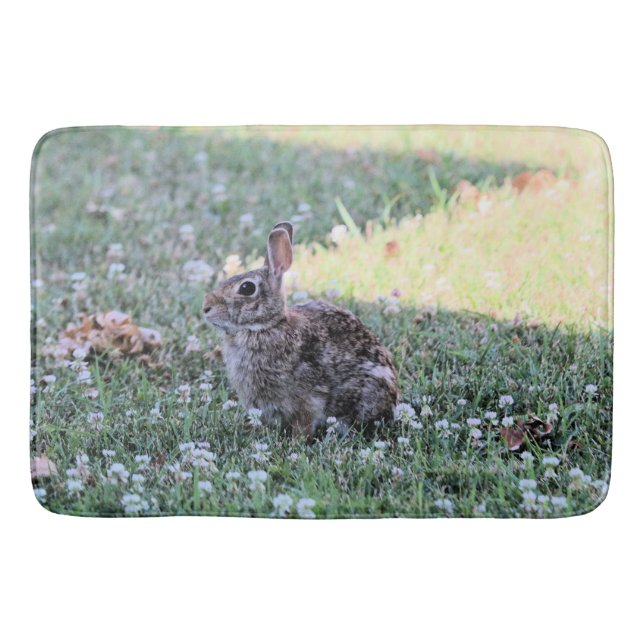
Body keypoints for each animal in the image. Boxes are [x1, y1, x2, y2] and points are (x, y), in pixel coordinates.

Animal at [203, 221, 399, 440]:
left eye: (246, 288)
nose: (206, 308)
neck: (266, 326)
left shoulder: (307, 399)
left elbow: (304, 423)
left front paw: (295, 442)